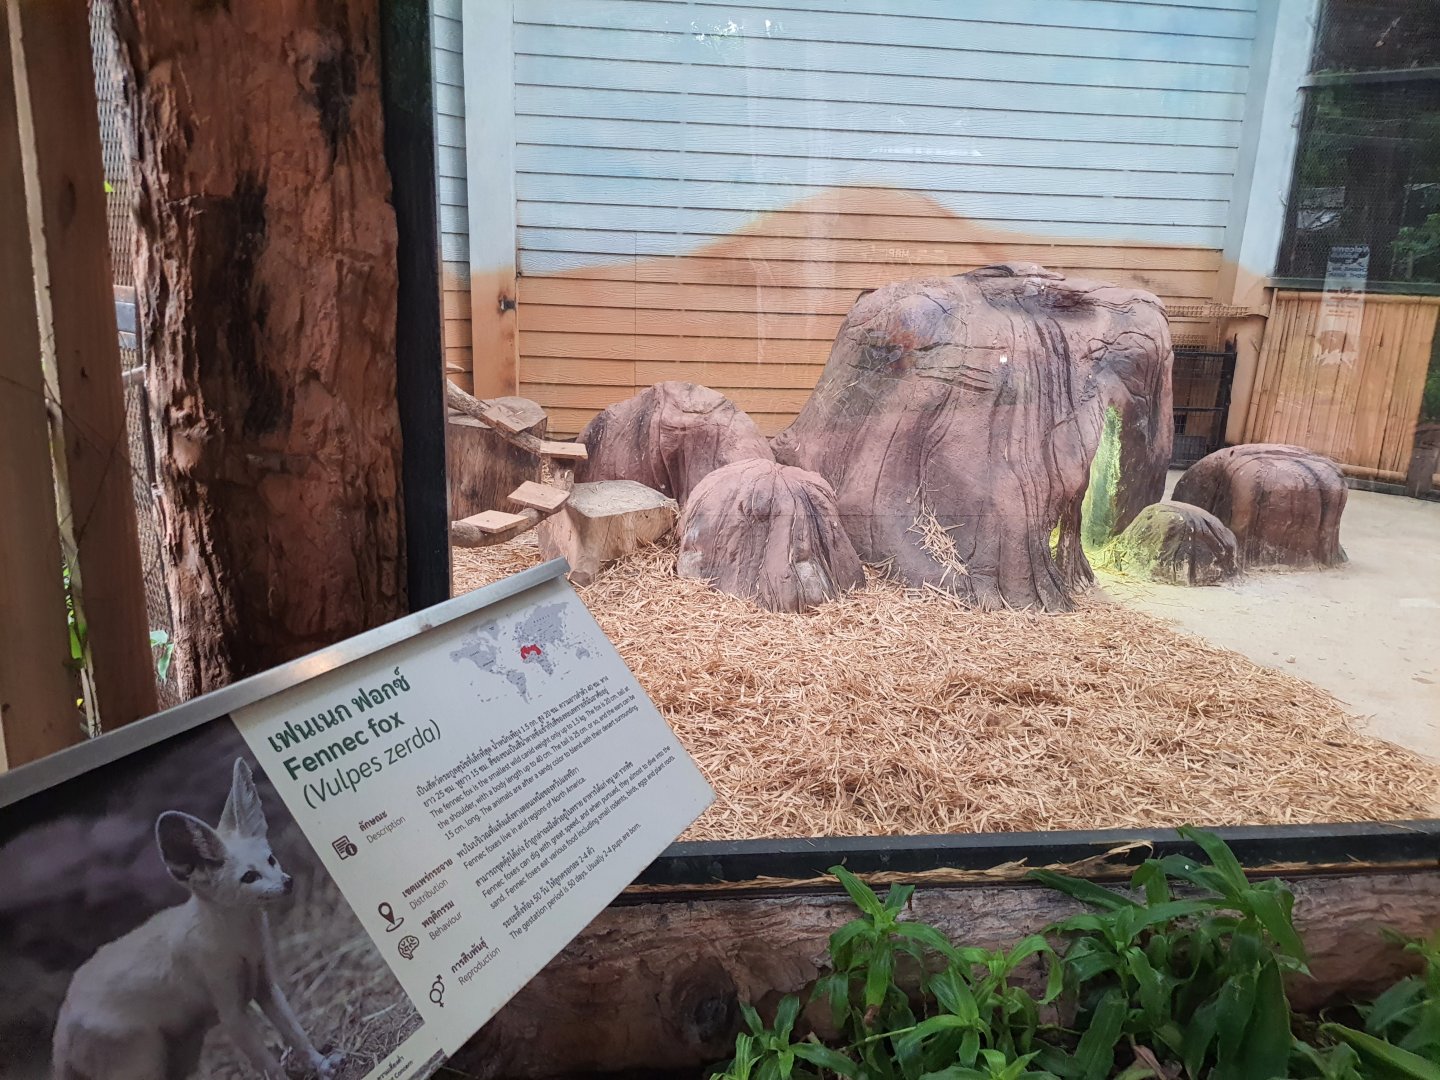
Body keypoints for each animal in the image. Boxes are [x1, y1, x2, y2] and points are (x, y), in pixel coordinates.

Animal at [51, 757, 343, 1080]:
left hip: (181, 1055)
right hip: (146, 1063)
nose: (288, 882)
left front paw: (322, 1064)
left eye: (271, 860)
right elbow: (268, 1065)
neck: (243, 944)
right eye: (249, 877)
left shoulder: (266, 986)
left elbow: (296, 1033)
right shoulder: (230, 1012)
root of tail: (62, 1019)